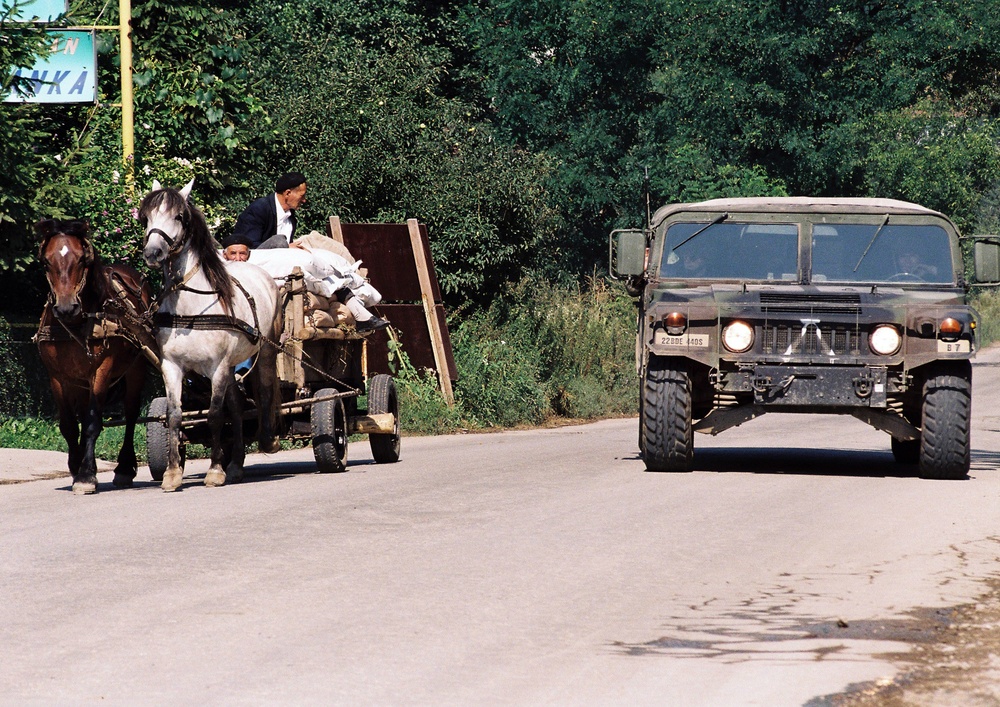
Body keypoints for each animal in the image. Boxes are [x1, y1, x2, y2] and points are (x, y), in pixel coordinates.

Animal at [35, 218, 154, 496]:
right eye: (46, 262)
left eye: (81, 260)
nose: (66, 307)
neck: (77, 324)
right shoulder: (58, 377)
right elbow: (69, 424)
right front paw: (75, 465)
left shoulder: (101, 371)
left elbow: (91, 422)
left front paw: (86, 474)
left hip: (136, 369)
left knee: (131, 414)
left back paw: (124, 467)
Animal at [141, 180, 282, 492]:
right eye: (146, 218)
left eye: (179, 216)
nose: (153, 253)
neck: (191, 309)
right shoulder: (171, 366)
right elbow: (174, 415)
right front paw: (172, 474)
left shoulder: (216, 367)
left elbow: (216, 415)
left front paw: (215, 471)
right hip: (230, 367)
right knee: (238, 408)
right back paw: (236, 465)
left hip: (265, 351)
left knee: (265, 391)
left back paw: (267, 439)